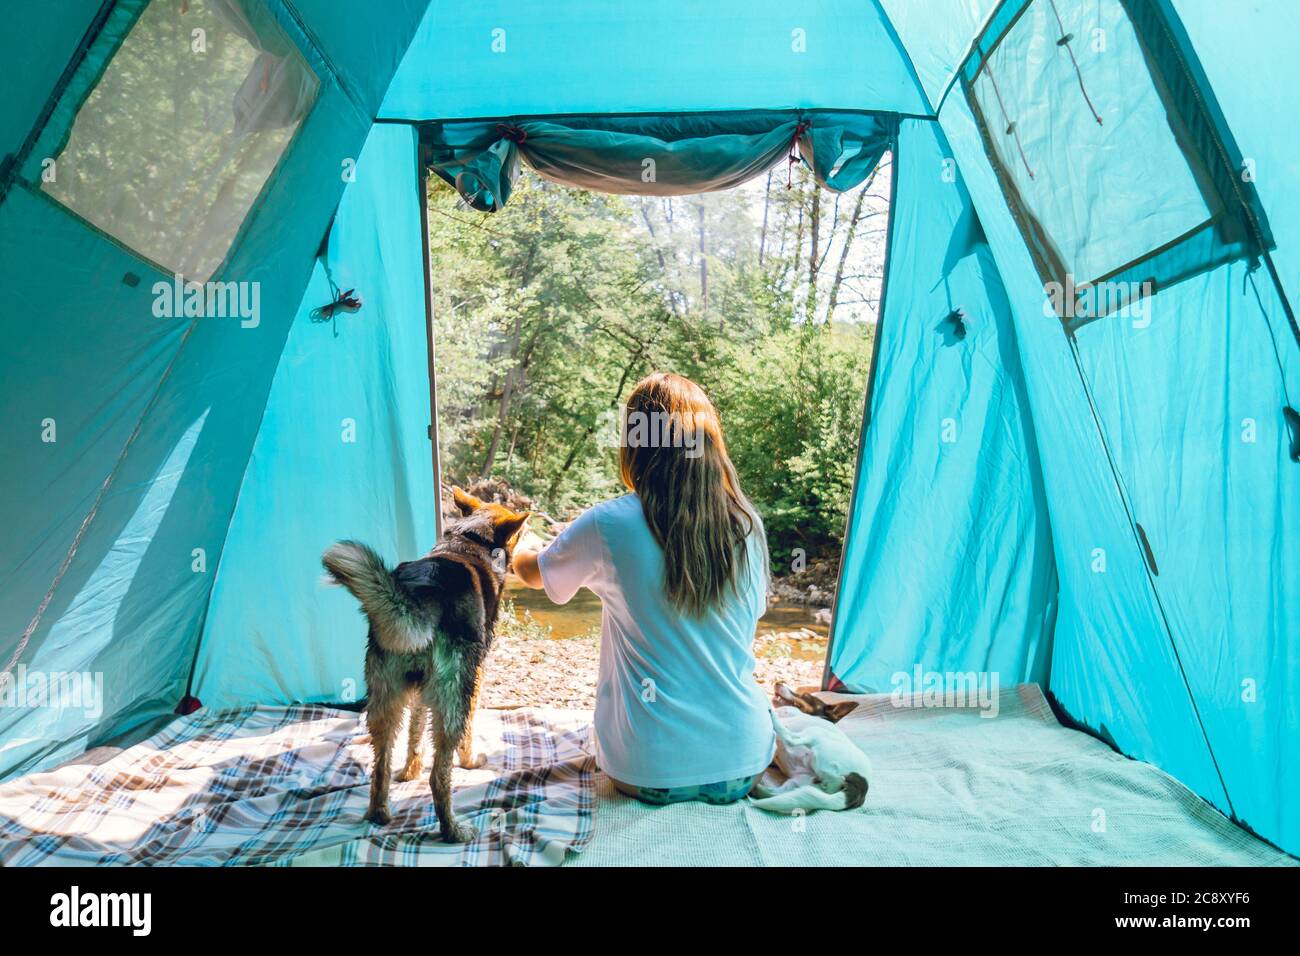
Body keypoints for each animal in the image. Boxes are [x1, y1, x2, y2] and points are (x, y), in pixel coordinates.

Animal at [321, 489, 527, 842]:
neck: (470, 540)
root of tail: (421, 595)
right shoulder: (475, 678)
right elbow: (468, 733)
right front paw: (470, 761)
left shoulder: (418, 691)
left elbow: (415, 733)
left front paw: (409, 771)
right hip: (454, 694)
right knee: (440, 774)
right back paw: (452, 830)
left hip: (385, 697)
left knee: (380, 765)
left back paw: (380, 812)